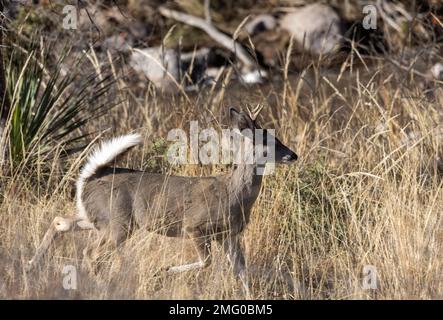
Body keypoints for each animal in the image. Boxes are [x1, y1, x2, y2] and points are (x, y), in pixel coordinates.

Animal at [26, 107, 298, 296]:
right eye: (268, 140)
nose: (293, 155)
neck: (233, 194)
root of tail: (90, 178)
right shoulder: (195, 226)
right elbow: (206, 261)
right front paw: (163, 271)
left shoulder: (229, 234)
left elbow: (241, 270)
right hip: (118, 222)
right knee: (90, 252)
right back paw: (104, 288)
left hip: (99, 218)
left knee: (60, 222)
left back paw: (31, 265)